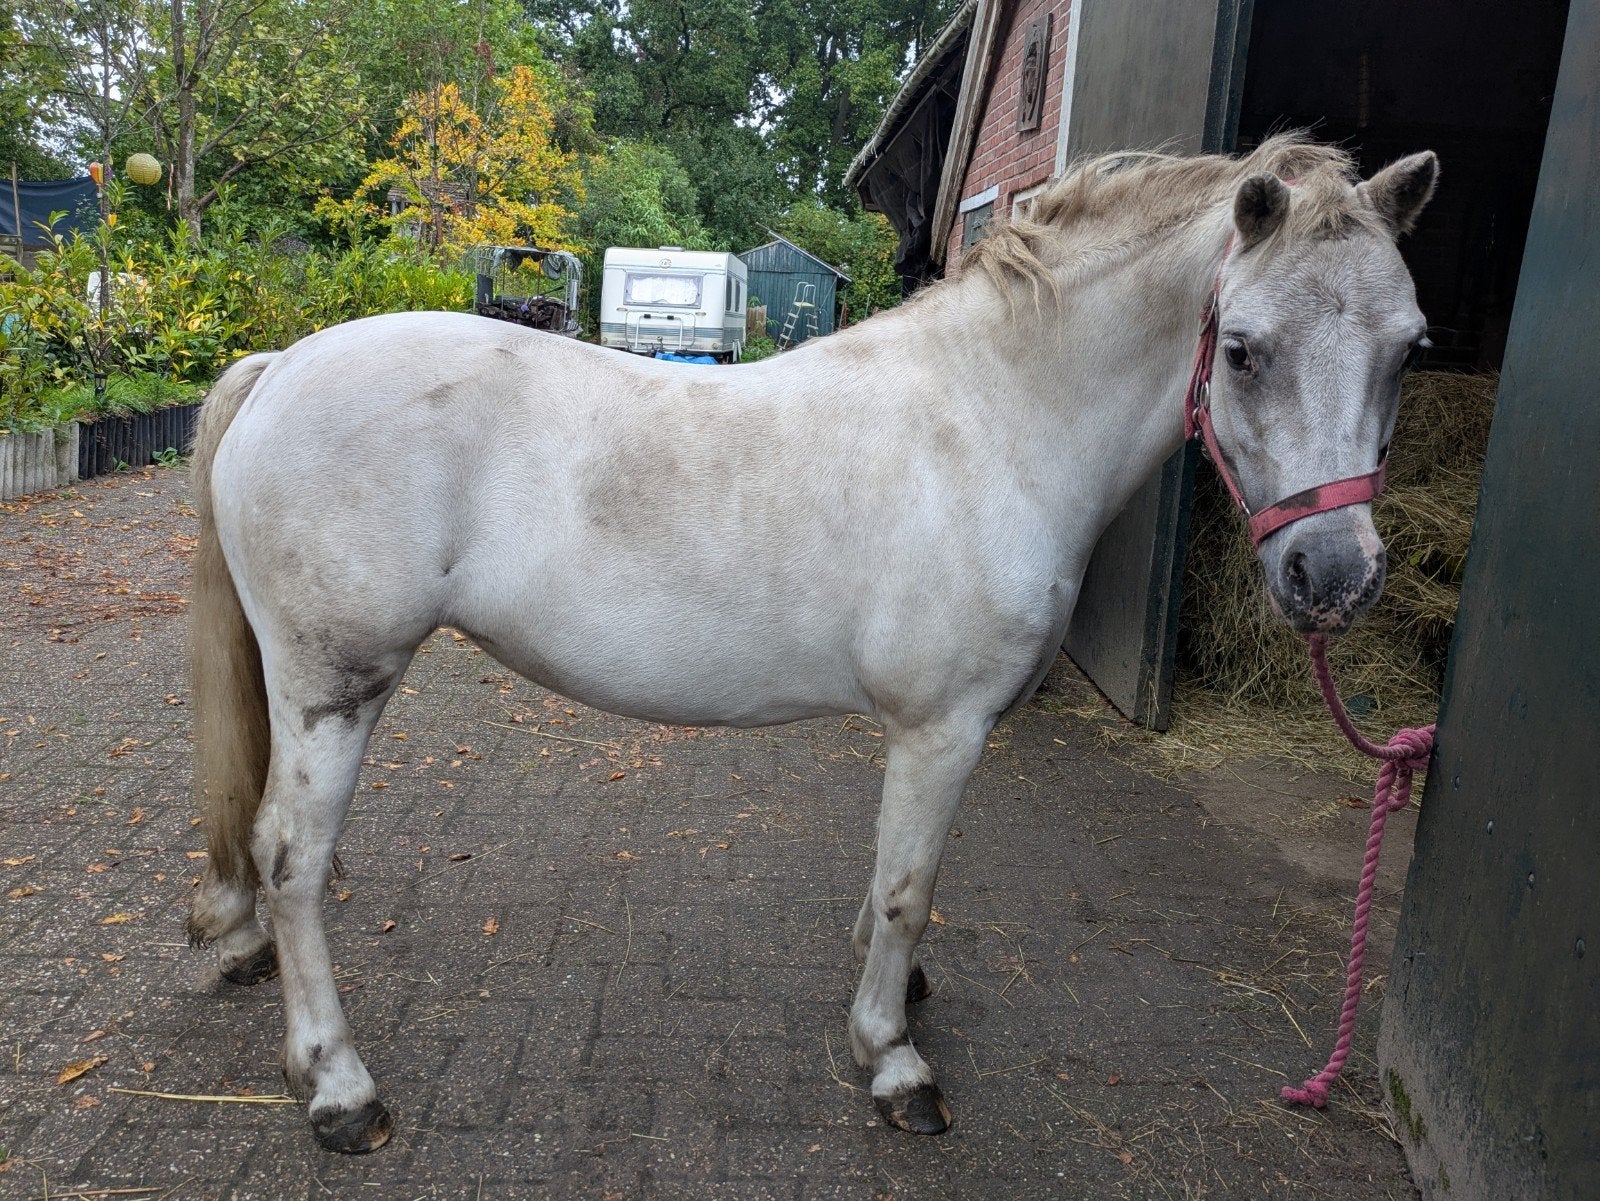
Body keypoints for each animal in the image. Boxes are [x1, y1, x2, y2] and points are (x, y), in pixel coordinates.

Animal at [185, 135, 1438, 1152]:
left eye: (1409, 348)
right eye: (1242, 349)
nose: (1334, 577)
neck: (989, 423)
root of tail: (282, 365)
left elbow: (888, 881)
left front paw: (894, 991)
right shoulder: (941, 729)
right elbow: (909, 888)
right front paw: (891, 1060)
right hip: (334, 687)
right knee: (293, 860)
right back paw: (339, 1089)